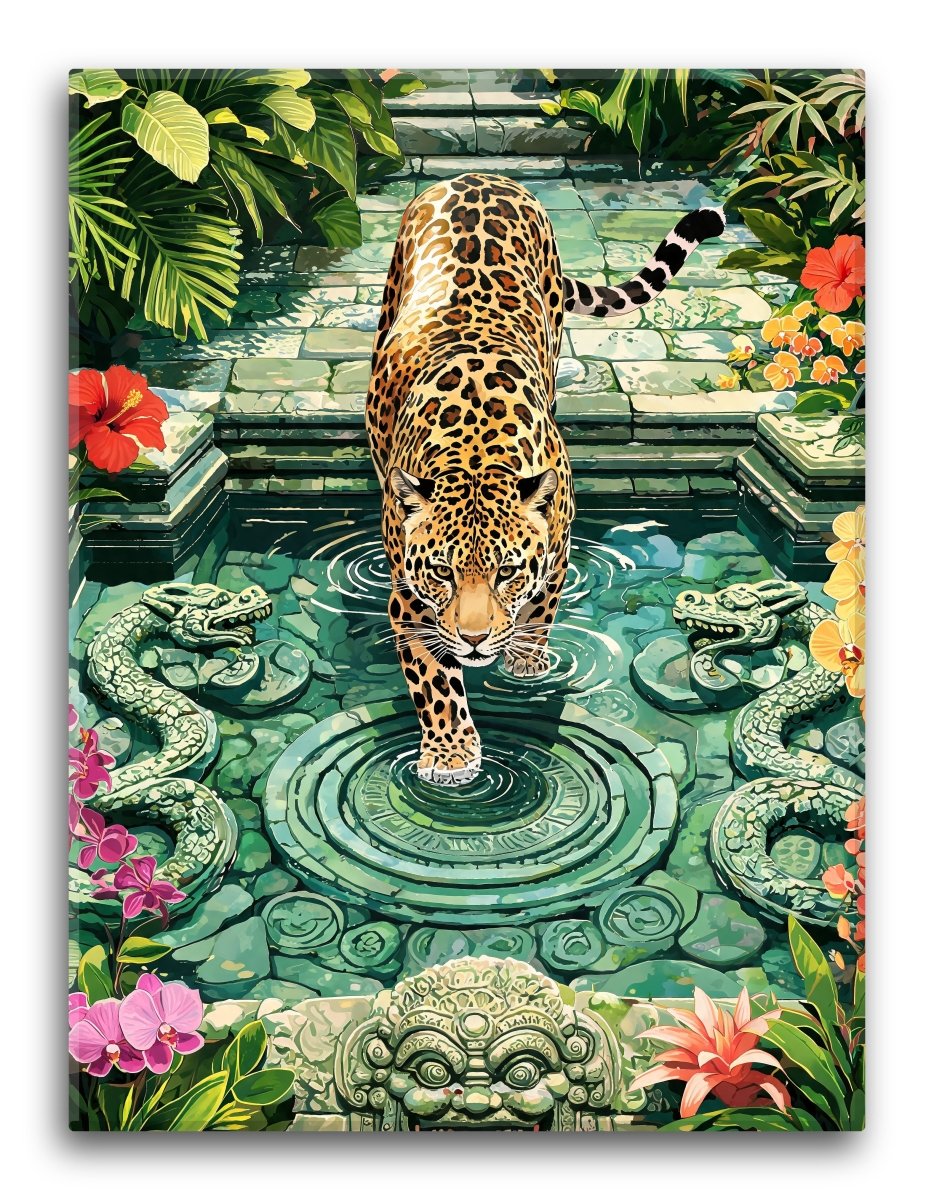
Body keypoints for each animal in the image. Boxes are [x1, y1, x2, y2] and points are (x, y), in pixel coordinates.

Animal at [365, 171, 724, 786]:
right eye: (441, 572)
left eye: (508, 572)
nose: (474, 640)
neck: (476, 450)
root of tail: (480, 175)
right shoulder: (409, 601)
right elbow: (434, 681)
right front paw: (451, 755)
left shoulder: (557, 549)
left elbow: (540, 612)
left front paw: (526, 663)